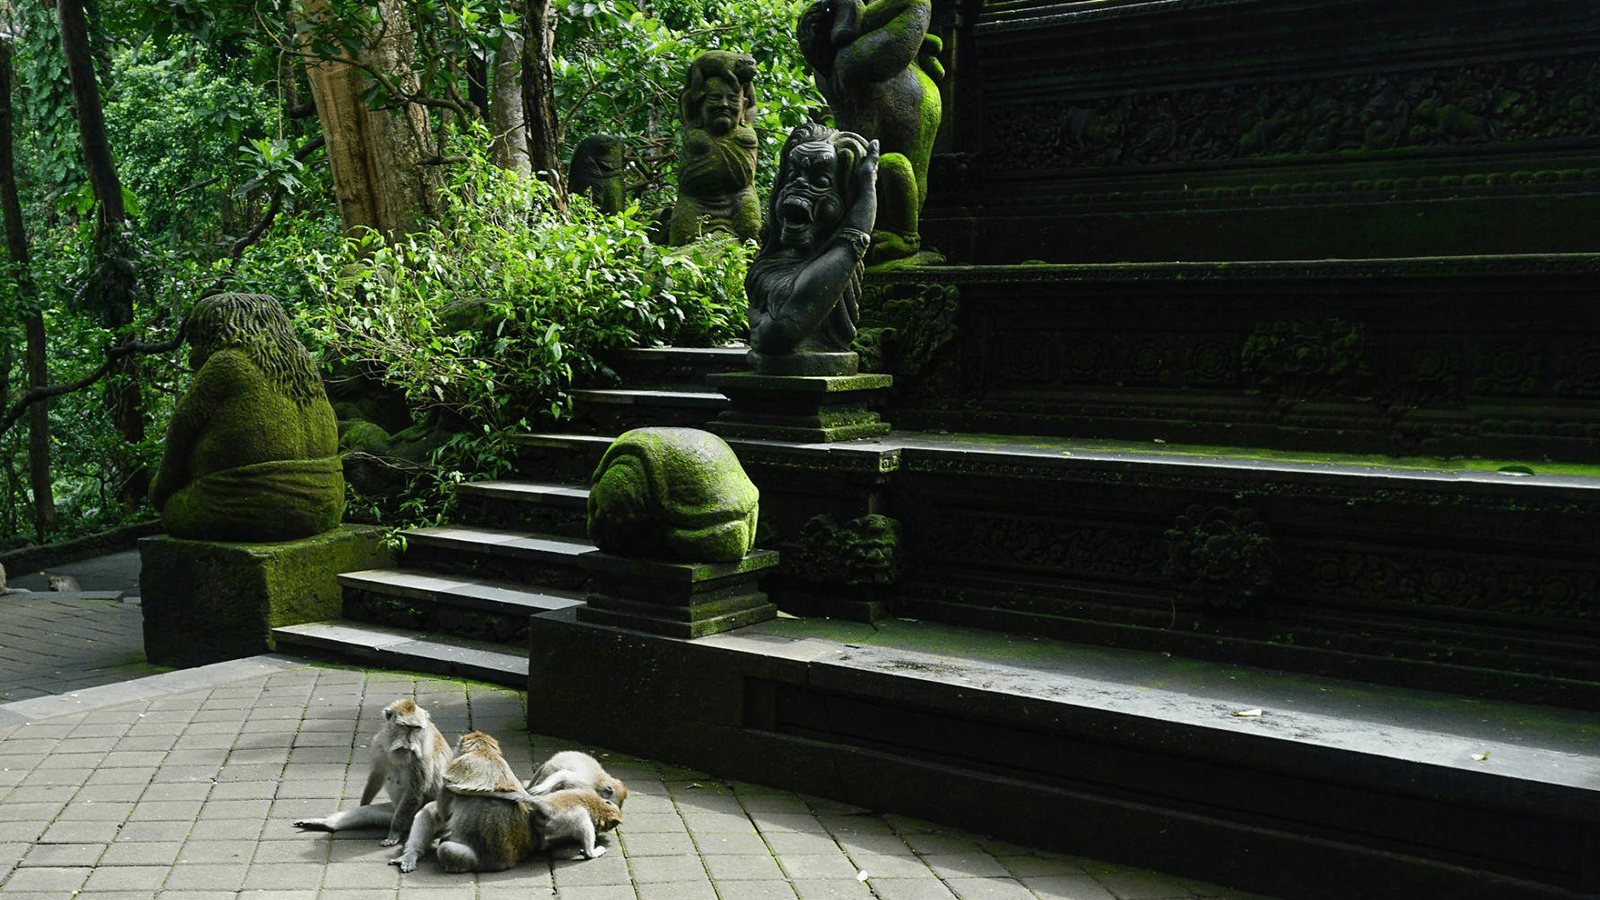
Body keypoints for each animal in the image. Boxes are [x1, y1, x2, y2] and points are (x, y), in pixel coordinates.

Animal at [295, 697, 452, 845]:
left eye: (416, 728)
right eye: (405, 726)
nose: (409, 742)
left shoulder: (423, 755)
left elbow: (414, 793)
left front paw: (395, 831)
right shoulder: (380, 744)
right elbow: (377, 776)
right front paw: (363, 802)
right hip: (392, 811)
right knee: (367, 812)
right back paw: (325, 824)